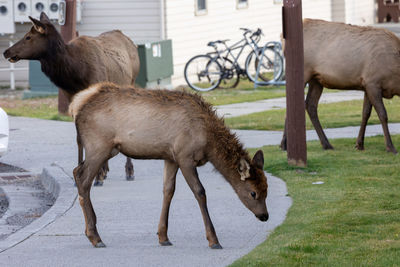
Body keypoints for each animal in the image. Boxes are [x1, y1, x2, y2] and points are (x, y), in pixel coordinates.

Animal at [2, 12, 141, 184]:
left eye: (28, 37)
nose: (6, 52)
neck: (75, 73)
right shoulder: (72, 98)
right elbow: (79, 138)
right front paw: (82, 176)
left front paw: (97, 175)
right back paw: (107, 170)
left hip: (131, 82)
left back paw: (129, 170)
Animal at [69, 83, 268, 249]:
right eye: (253, 193)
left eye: (266, 189)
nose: (265, 216)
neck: (208, 143)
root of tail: (76, 106)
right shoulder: (184, 156)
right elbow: (200, 192)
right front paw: (213, 240)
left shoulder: (170, 158)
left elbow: (168, 191)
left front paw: (163, 237)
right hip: (98, 146)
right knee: (82, 178)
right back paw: (95, 237)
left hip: (106, 149)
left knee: (76, 171)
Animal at [282, 19, 400, 155]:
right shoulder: (373, 82)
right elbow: (382, 114)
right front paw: (391, 147)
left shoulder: (367, 85)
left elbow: (365, 113)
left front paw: (359, 144)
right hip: (304, 72)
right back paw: (284, 145)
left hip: (316, 80)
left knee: (310, 105)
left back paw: (326, 144)